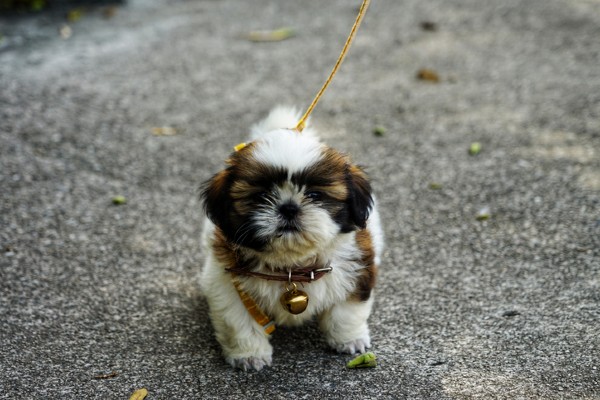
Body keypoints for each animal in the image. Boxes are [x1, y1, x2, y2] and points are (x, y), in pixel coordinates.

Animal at [199, 107, 382, 372]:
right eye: (261, 196)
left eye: (315, 195)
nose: (288, 208)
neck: (292, 267)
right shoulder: (227, 282)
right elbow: (239, 321)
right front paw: (249, 355)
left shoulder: (358, 267)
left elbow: (347, 311)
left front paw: (349, 339)